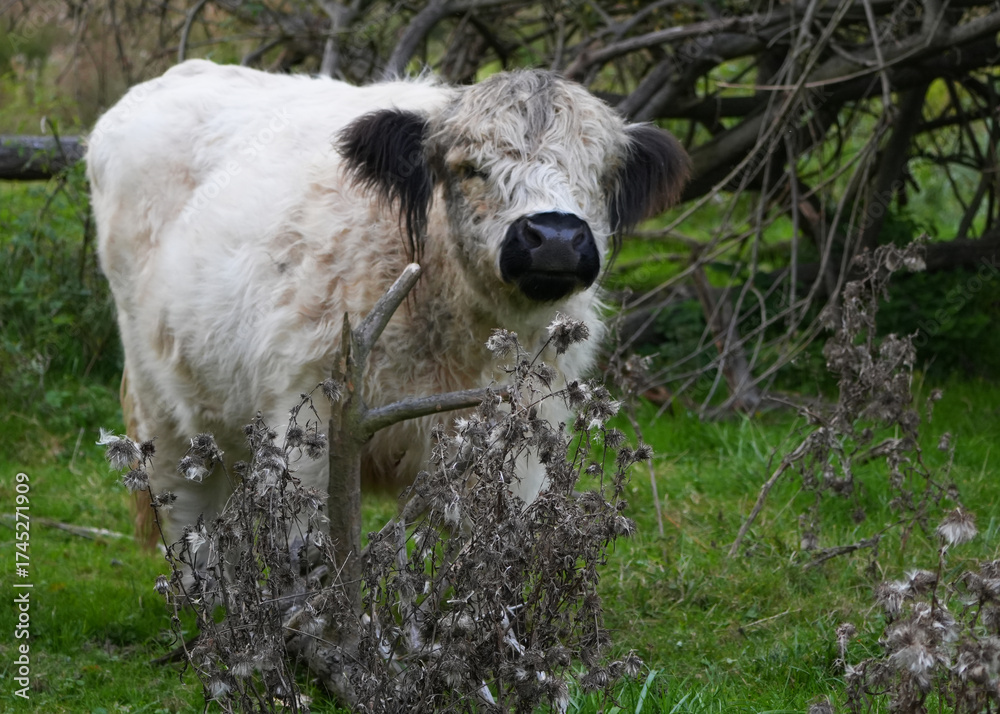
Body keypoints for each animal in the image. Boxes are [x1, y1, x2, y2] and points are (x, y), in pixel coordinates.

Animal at [87, 60, 689, 549]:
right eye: (470, 167)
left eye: (600, 173)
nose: (556, 237)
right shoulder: (311, 427)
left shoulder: (519, 442)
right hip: (162, 407)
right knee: (188, 520)